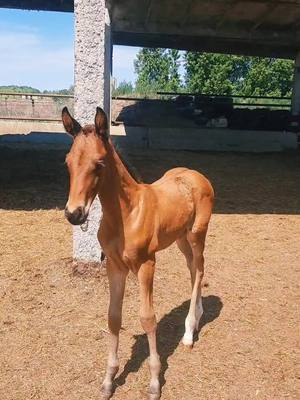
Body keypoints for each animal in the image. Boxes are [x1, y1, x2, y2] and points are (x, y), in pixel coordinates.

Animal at [62, 107, 214, 400]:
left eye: (99, 164)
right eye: (67, 162)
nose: (74, 214)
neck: (126, 214)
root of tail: (197, 175)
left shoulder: (146, 264)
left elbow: (148, 318)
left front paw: (154, 382)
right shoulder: (115, 266)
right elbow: (113, 316)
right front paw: (108, 380)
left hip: (196, 234)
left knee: (200, 269)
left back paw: (189, 333)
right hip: (180, 238)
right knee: (193, 270)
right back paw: (195, 320)